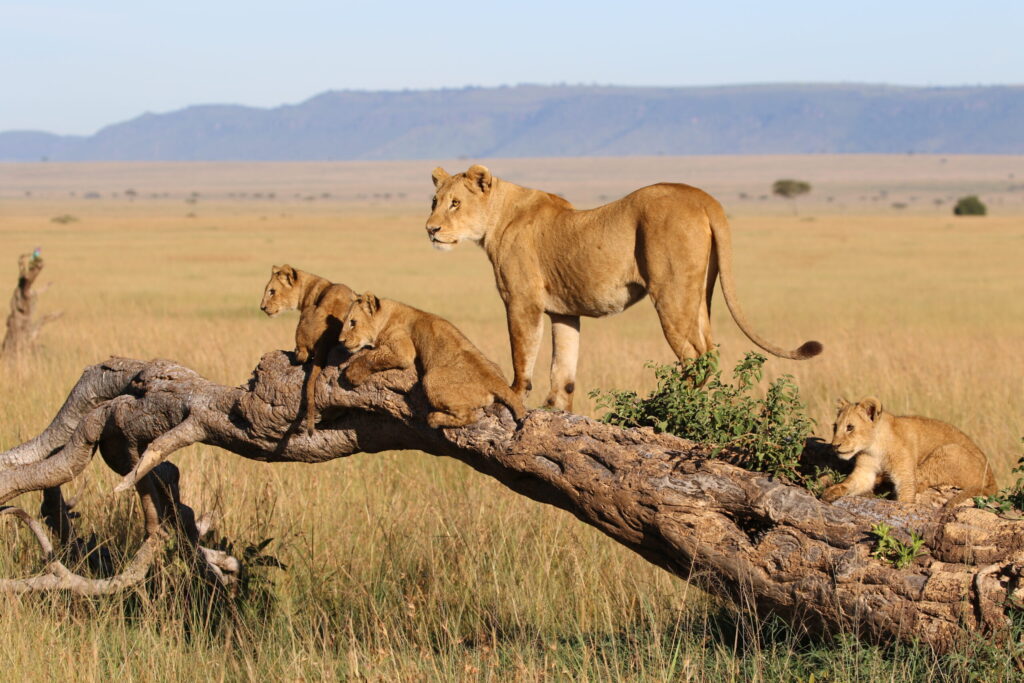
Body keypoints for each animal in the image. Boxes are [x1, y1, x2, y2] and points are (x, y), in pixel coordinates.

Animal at [260, 264, 355, 435]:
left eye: (272, 291)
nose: (262, 307)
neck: (309, 287)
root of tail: (324, 339)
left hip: (306, 314)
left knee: (303, 356)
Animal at [338, 292, 526, 429]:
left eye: (353, 322)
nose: (340, 340)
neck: (387, 315)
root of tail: (495, 381)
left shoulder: (403, 349)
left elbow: (372, 357)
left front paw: (352, 373)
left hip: (431, 379)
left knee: (470, 416)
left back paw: (434, 419)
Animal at [426, 165, 822, 411]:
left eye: (455, 203)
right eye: (434, 202)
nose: (430, 229)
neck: (496, 218)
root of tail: (701, 197)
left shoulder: (523, 301)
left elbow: (522, 356)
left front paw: (514, 395)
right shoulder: (564, 312)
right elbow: (563, 369)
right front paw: (557, 410)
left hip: (671, 292)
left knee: (694, 356)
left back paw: (673, 408)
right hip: (700, 294)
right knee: (709, 350)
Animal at [821, 397, 997, 505]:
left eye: (850, 427)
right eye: (835, 427)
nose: (834, 445)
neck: (875, 447)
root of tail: (993, 481)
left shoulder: (905, 475)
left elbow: (906, 496)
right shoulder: (865, 471)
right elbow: (851, 482)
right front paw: (831, 491)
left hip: (950, 450)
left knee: (923, 480)